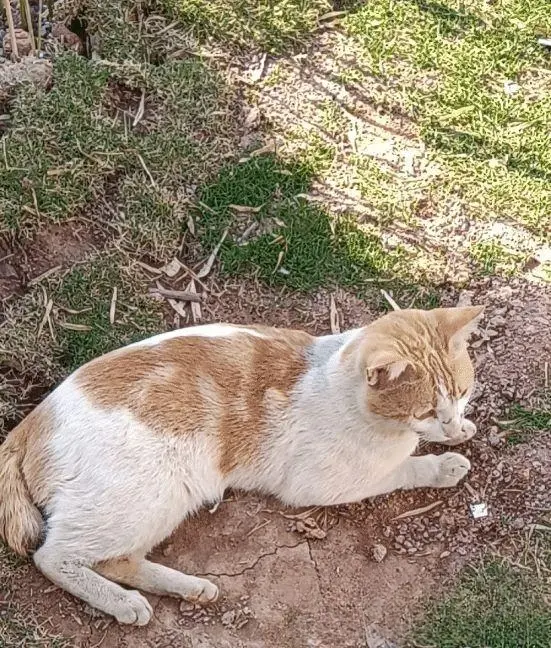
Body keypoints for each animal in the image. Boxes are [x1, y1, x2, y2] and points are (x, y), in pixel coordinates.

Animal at [0, 306, 484, 624]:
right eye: (425, 410)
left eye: (462, 392)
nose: (449, 422)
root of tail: (26, 425)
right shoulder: (322, 485)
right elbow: (402, 471)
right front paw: (443, 464)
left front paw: (462, 431)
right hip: (141, 499)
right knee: (55, 556)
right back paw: (124, 604)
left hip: (158, 508)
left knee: (115, 560)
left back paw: (190, 588)